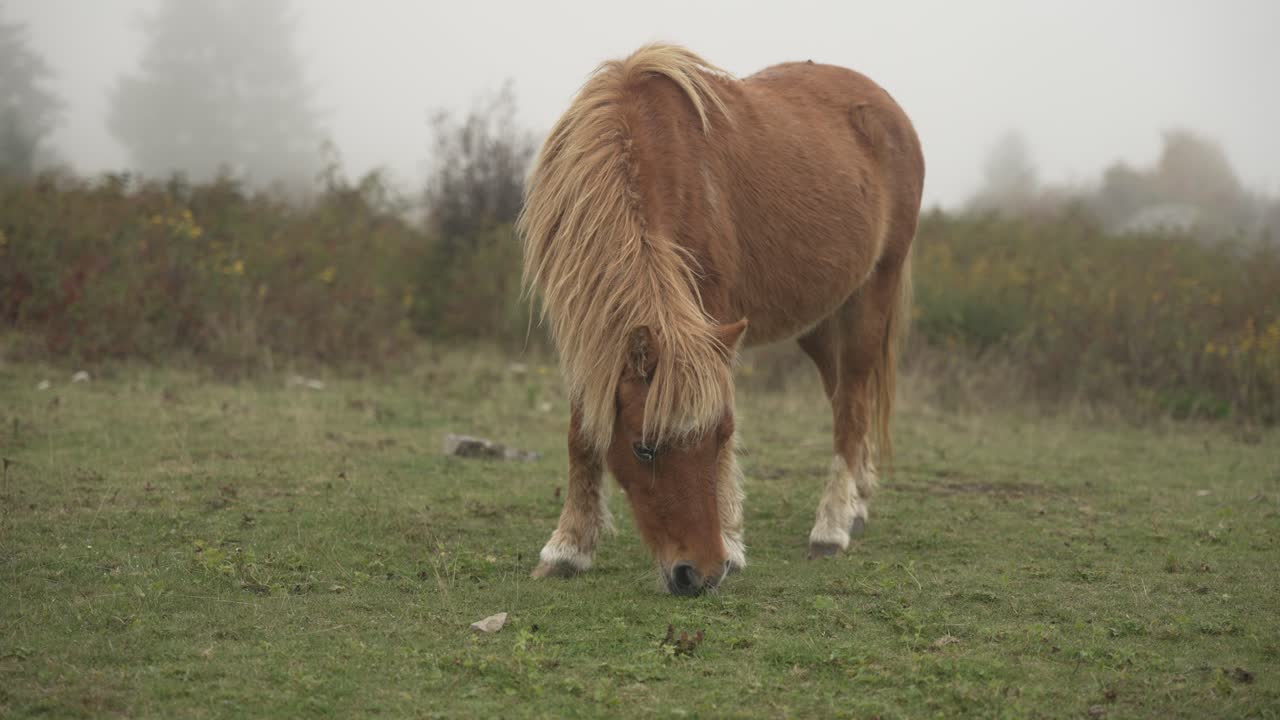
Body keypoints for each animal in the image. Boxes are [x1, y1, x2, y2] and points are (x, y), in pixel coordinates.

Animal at [518, 44, 924, 595]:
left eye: (719, 438)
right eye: (644, 449)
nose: (699, 574)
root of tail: (889, 111)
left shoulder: (712, 312)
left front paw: (731, 542)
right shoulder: (583, 327)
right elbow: (583, 432)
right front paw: (568, 548)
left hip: (872, 295)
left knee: (853, 406)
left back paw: (832, 527)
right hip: (820, 324)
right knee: (844, 396)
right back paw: (856, 504)